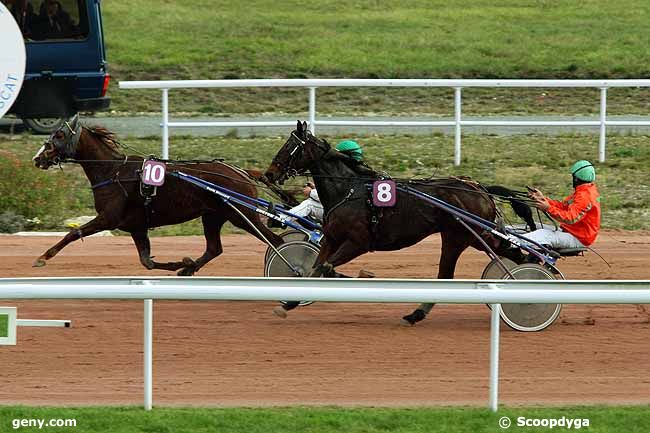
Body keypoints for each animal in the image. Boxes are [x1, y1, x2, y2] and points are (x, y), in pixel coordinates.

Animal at [31, 115, 282, 276]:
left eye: (59, 135)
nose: (37, 158)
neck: (113, 171)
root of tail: (242, 172)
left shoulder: (108, 218)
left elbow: (73, 233)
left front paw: (42, 258)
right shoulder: (137, 226)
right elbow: (146, 262)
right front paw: (180, 263)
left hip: (242, 215)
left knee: (275, 241)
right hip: (212, 216)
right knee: (214, 248)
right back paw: (189, 269)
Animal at [266, 121, 520, 324]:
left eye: (290, 147)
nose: (269, 174)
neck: (349, 190)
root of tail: (479, 188)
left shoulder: (358, 243)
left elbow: (325, 268)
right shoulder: (331, 239)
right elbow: (316, 268)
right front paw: (290, 302)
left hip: (459, 236)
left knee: (451, 272)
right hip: (468, 236)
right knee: (501, 252)